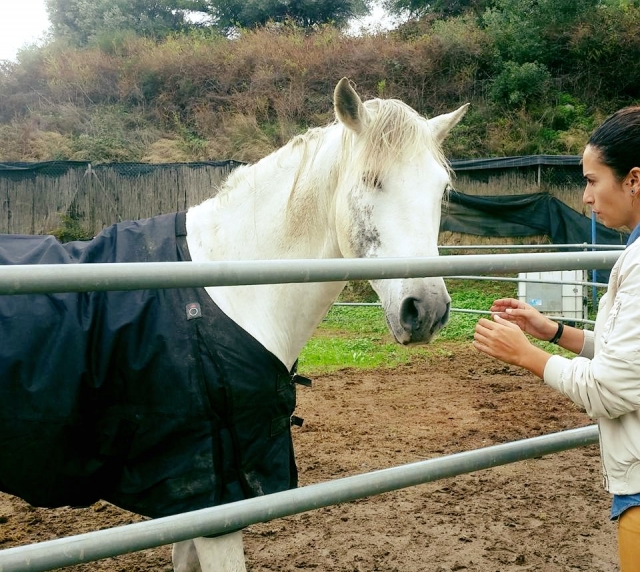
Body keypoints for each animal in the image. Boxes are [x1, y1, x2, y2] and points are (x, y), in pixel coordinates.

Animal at [0, 78, 468, 572]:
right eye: (371, 180)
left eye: (441, 190)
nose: (427, 309)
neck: (228, 291)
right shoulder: (216, 500)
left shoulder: (191, 505)